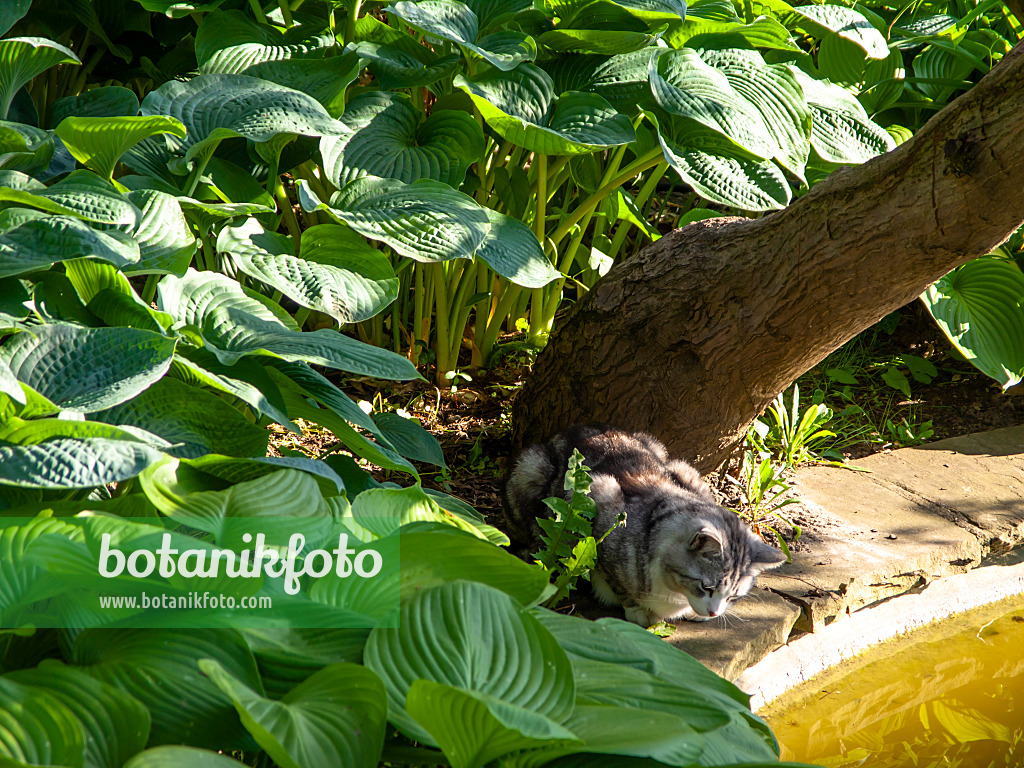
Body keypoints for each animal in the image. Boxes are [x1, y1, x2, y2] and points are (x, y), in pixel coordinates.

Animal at [501, 423, 782, 626]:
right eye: (707, 587)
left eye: (733, 596)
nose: (714, 613)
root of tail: (575, 427)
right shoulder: (601, 499)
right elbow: (615, 579)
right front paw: (637, 609)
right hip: (532, 468)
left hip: (674, 460)